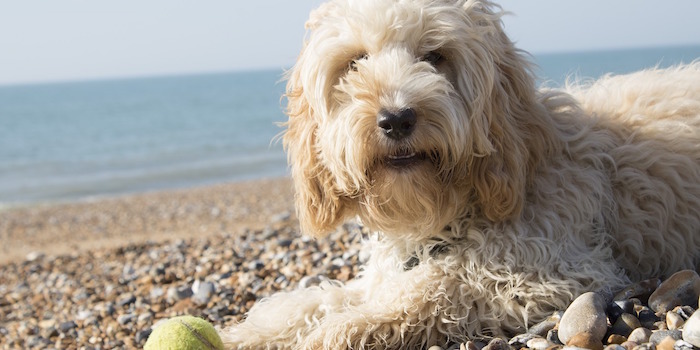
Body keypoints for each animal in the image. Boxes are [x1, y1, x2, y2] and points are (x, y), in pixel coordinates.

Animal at [224, 0, 700, 348]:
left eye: (435, 56)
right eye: (355, 61)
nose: (396, 119)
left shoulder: (554, 269)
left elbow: (437, 286)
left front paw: (339, 330)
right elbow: (325, 298)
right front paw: (253, 332)